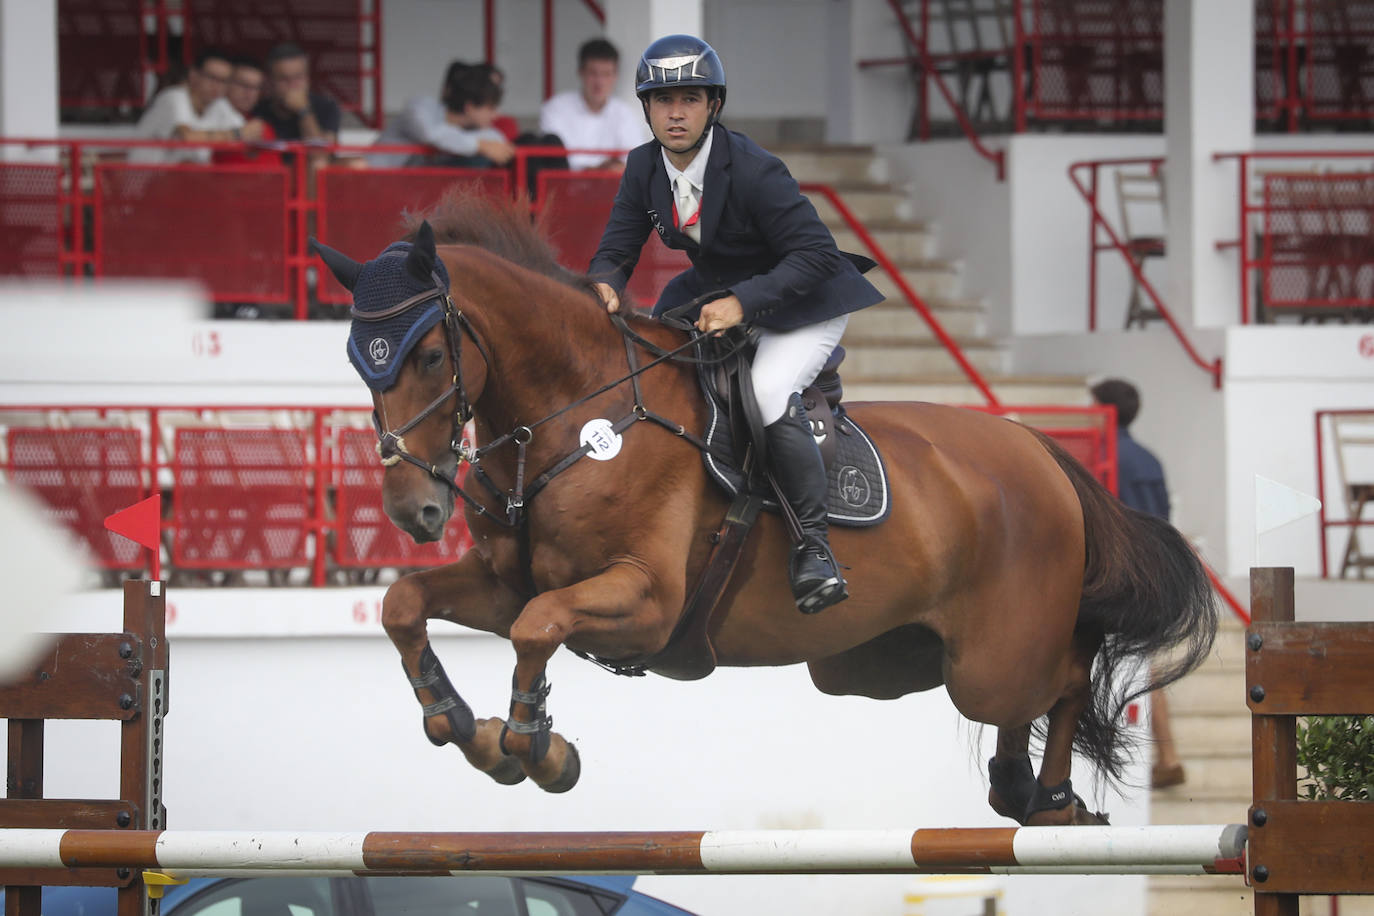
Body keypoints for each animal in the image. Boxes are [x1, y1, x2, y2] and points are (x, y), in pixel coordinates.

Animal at [311, 189, 1214, 829]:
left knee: (1066, 675)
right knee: (1029, 696)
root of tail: (1040, 450)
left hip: (990, 661)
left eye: (432, 355)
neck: (570, 417)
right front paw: (463, 725)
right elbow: (405, 605)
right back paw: (1021, 788)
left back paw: (1053, 797)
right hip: (874, 665)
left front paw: (535, 748)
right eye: (359, 362)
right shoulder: (509, 584)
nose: (413, 512)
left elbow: (539, 630)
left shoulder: (646, 602)